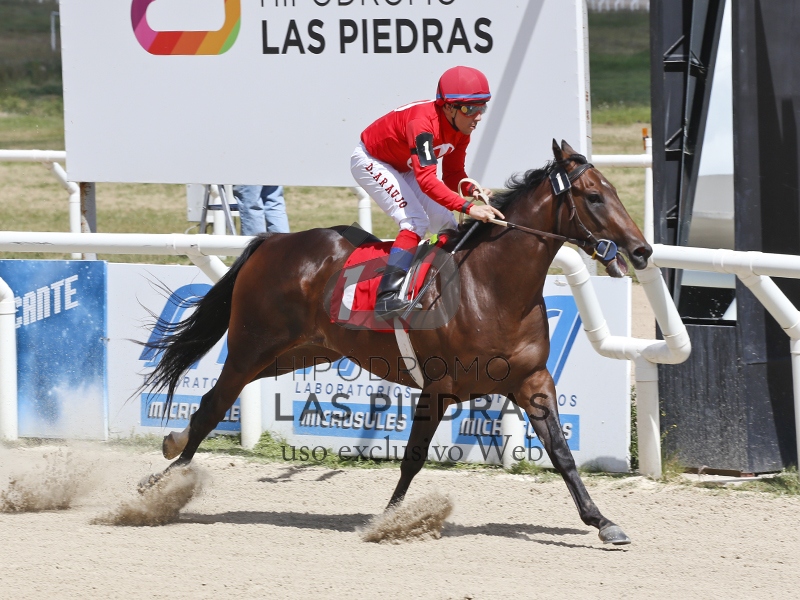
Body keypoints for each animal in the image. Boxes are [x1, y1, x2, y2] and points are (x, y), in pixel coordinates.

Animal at [143, 140, 652, 545]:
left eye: (615, 191)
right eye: (593, 196)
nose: (642, 250)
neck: (490, 285)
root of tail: (270, 241)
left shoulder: (532, 380)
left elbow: (562, 454)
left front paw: (603, 522)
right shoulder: (438, 387)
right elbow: (412, 458)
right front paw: (387, 521)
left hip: (297, 352)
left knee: (215, 399)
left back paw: (173, 443)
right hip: (253, 344)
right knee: (213, 404)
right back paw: (159, 485)